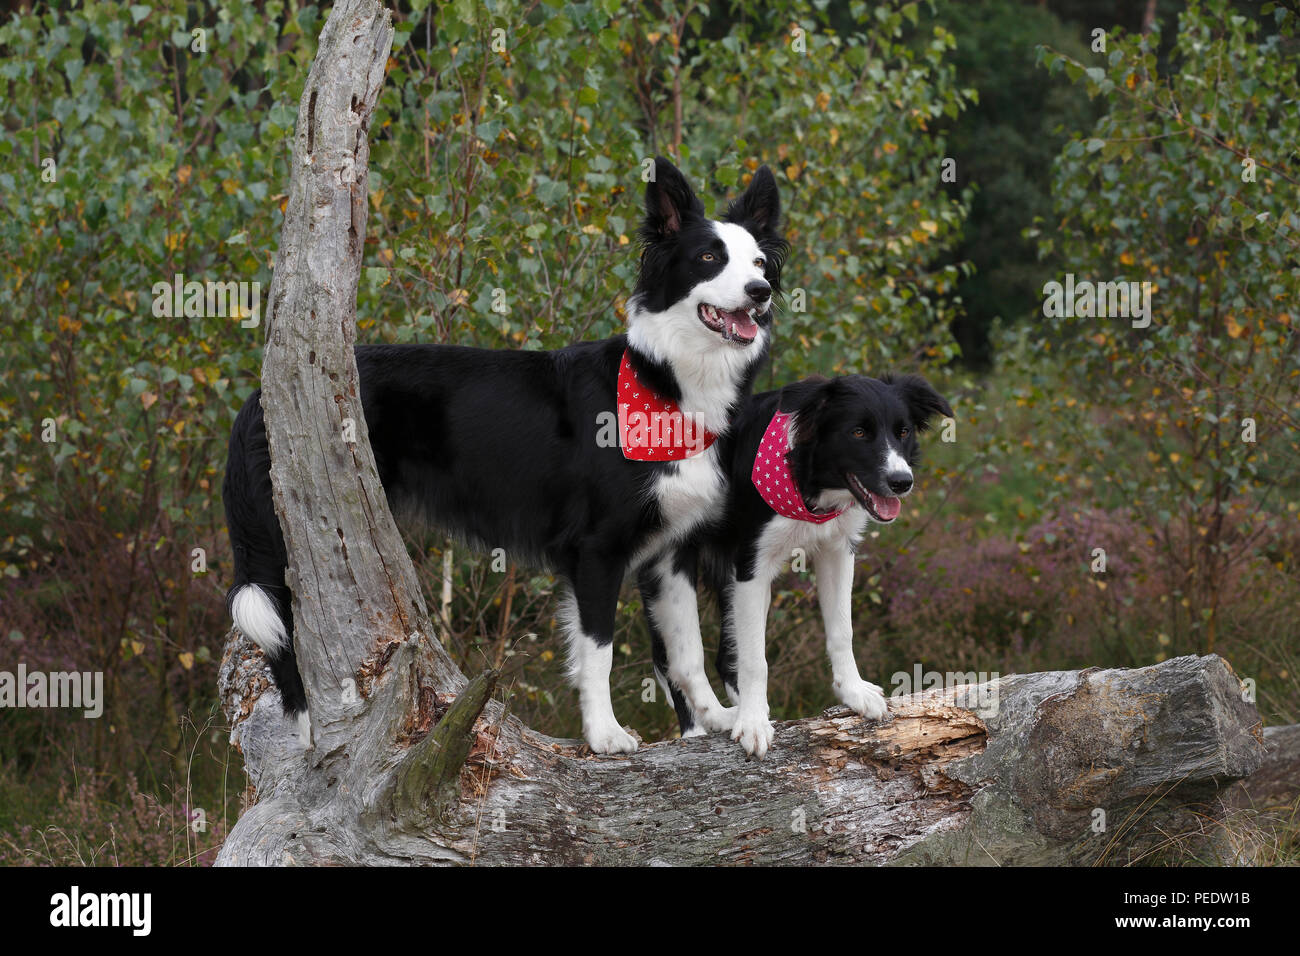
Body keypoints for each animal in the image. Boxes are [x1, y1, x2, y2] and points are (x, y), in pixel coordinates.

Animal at [222, 158, 785, 754]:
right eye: (708, 259)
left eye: (758, 262)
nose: (760, 291)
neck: (666, 383)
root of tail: (259, 395)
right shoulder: (597, 551)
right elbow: (599, 652)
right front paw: (604, 734)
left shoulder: (670, 553)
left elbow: (686, 652)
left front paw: (716, 717)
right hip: (294, 535)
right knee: (285, 633)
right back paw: (309, 730)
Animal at [655, 374, 951, 754]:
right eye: (858, 432)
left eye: (903, 432)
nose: (902, 482)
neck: (807, 480)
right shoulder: (751, 565)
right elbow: (756, 659)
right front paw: (753, 723)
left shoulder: (836, 550)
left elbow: (842, 630)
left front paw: (852, 691)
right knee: (669, 658)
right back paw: (699, 732)